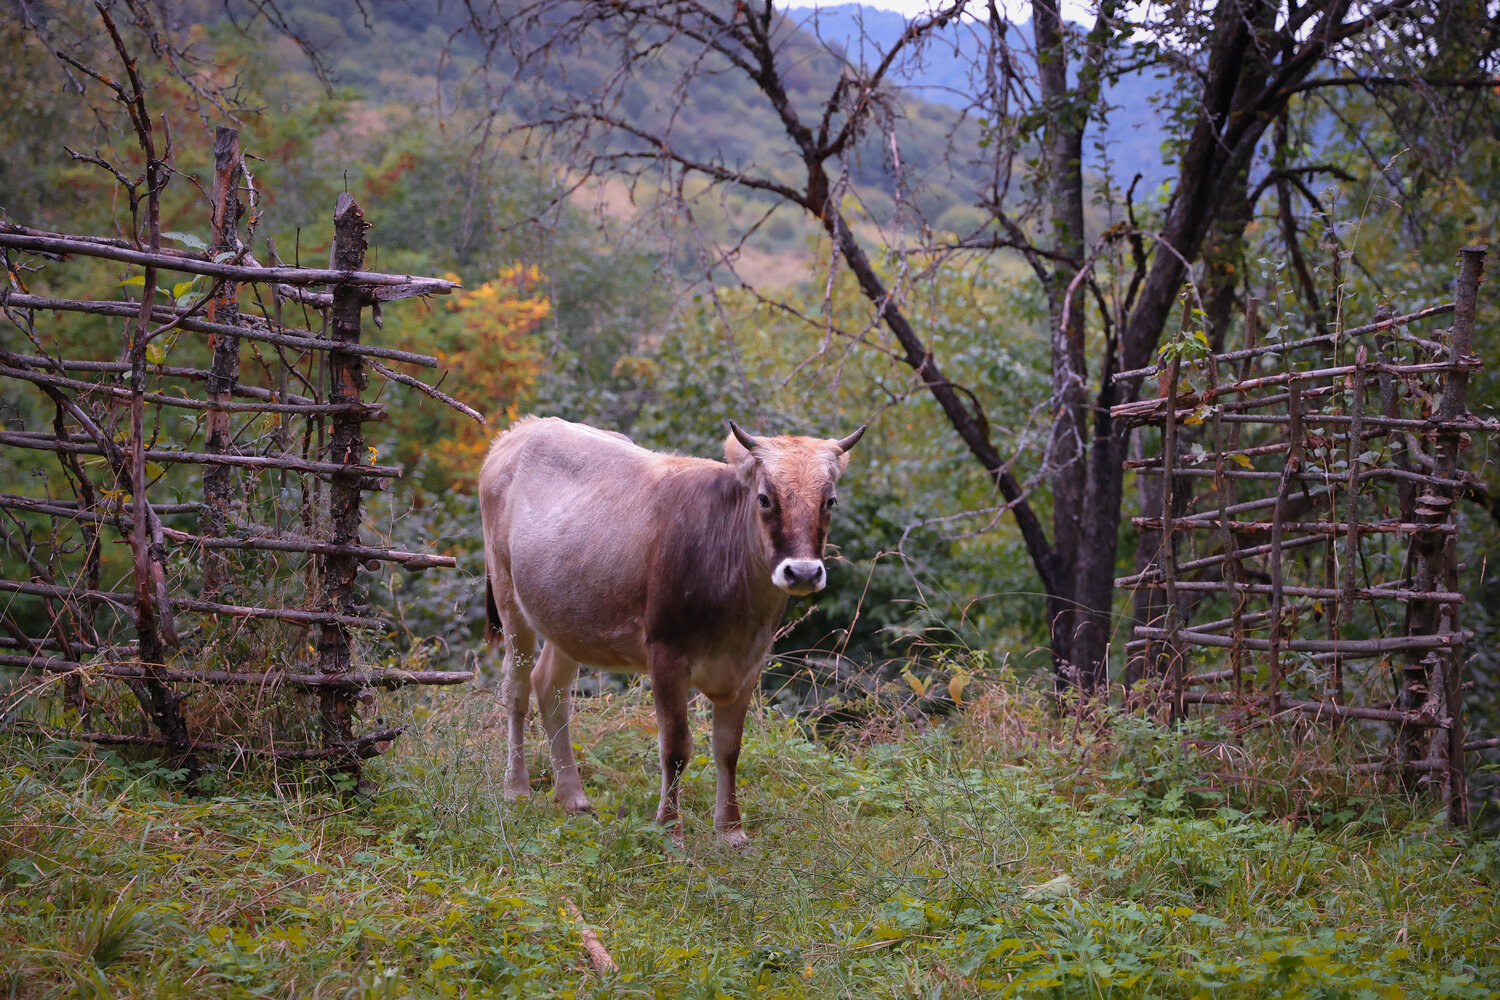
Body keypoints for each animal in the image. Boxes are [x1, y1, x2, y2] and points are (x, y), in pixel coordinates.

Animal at [478, 416, 863, 848]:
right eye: (765, 498)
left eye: (829, 501)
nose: (803, 572)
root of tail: (523, 429)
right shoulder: (666, 653)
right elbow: (676, 748)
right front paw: (669, 830)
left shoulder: (749, 662)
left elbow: (728, 747)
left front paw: (731, 831)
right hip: (508, 594)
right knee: (516, 689)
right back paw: (517, 789)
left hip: (566, 616)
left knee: (550, 687)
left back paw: (572, 796)